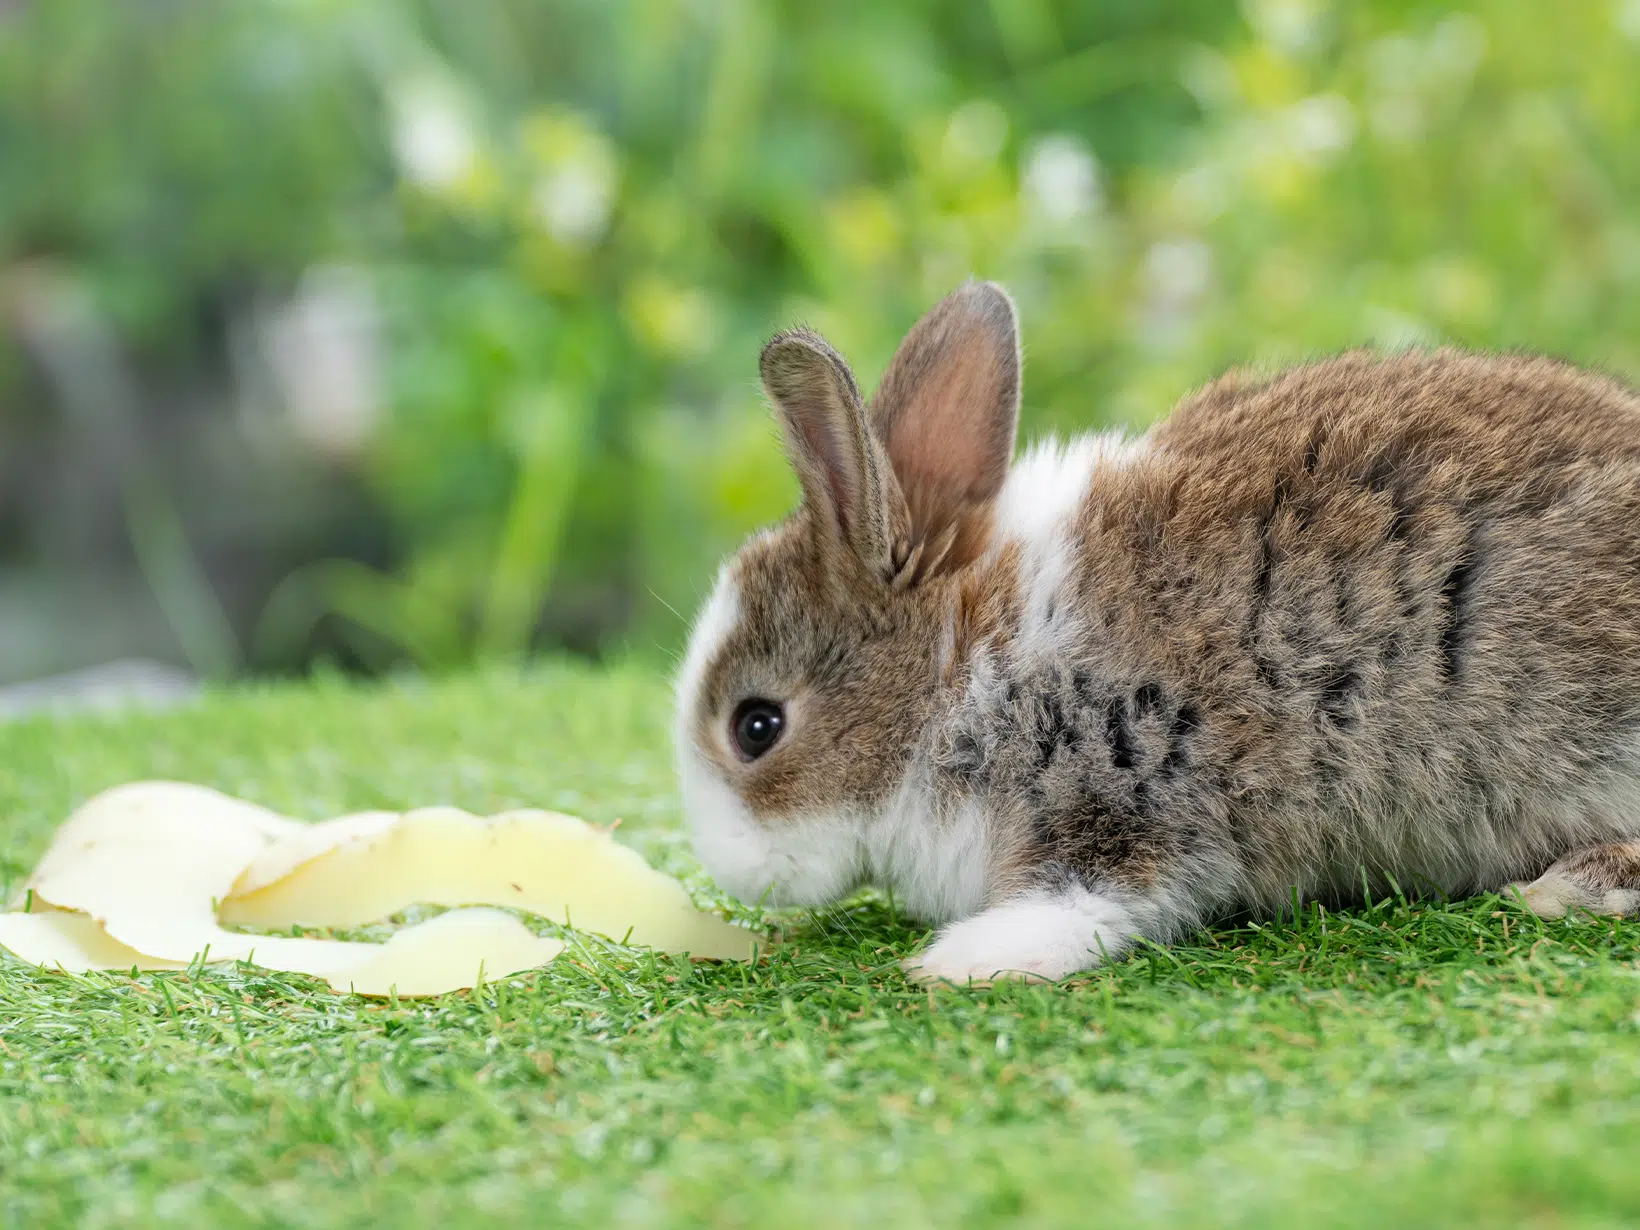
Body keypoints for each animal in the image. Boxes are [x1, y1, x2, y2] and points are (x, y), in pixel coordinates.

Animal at [669, 278, 1640, 984]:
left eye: (757, 727)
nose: (727, 869)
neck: (959, 668)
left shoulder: (1132, 787)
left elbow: (1096, 899)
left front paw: (963, 961)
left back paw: (1572, 887)